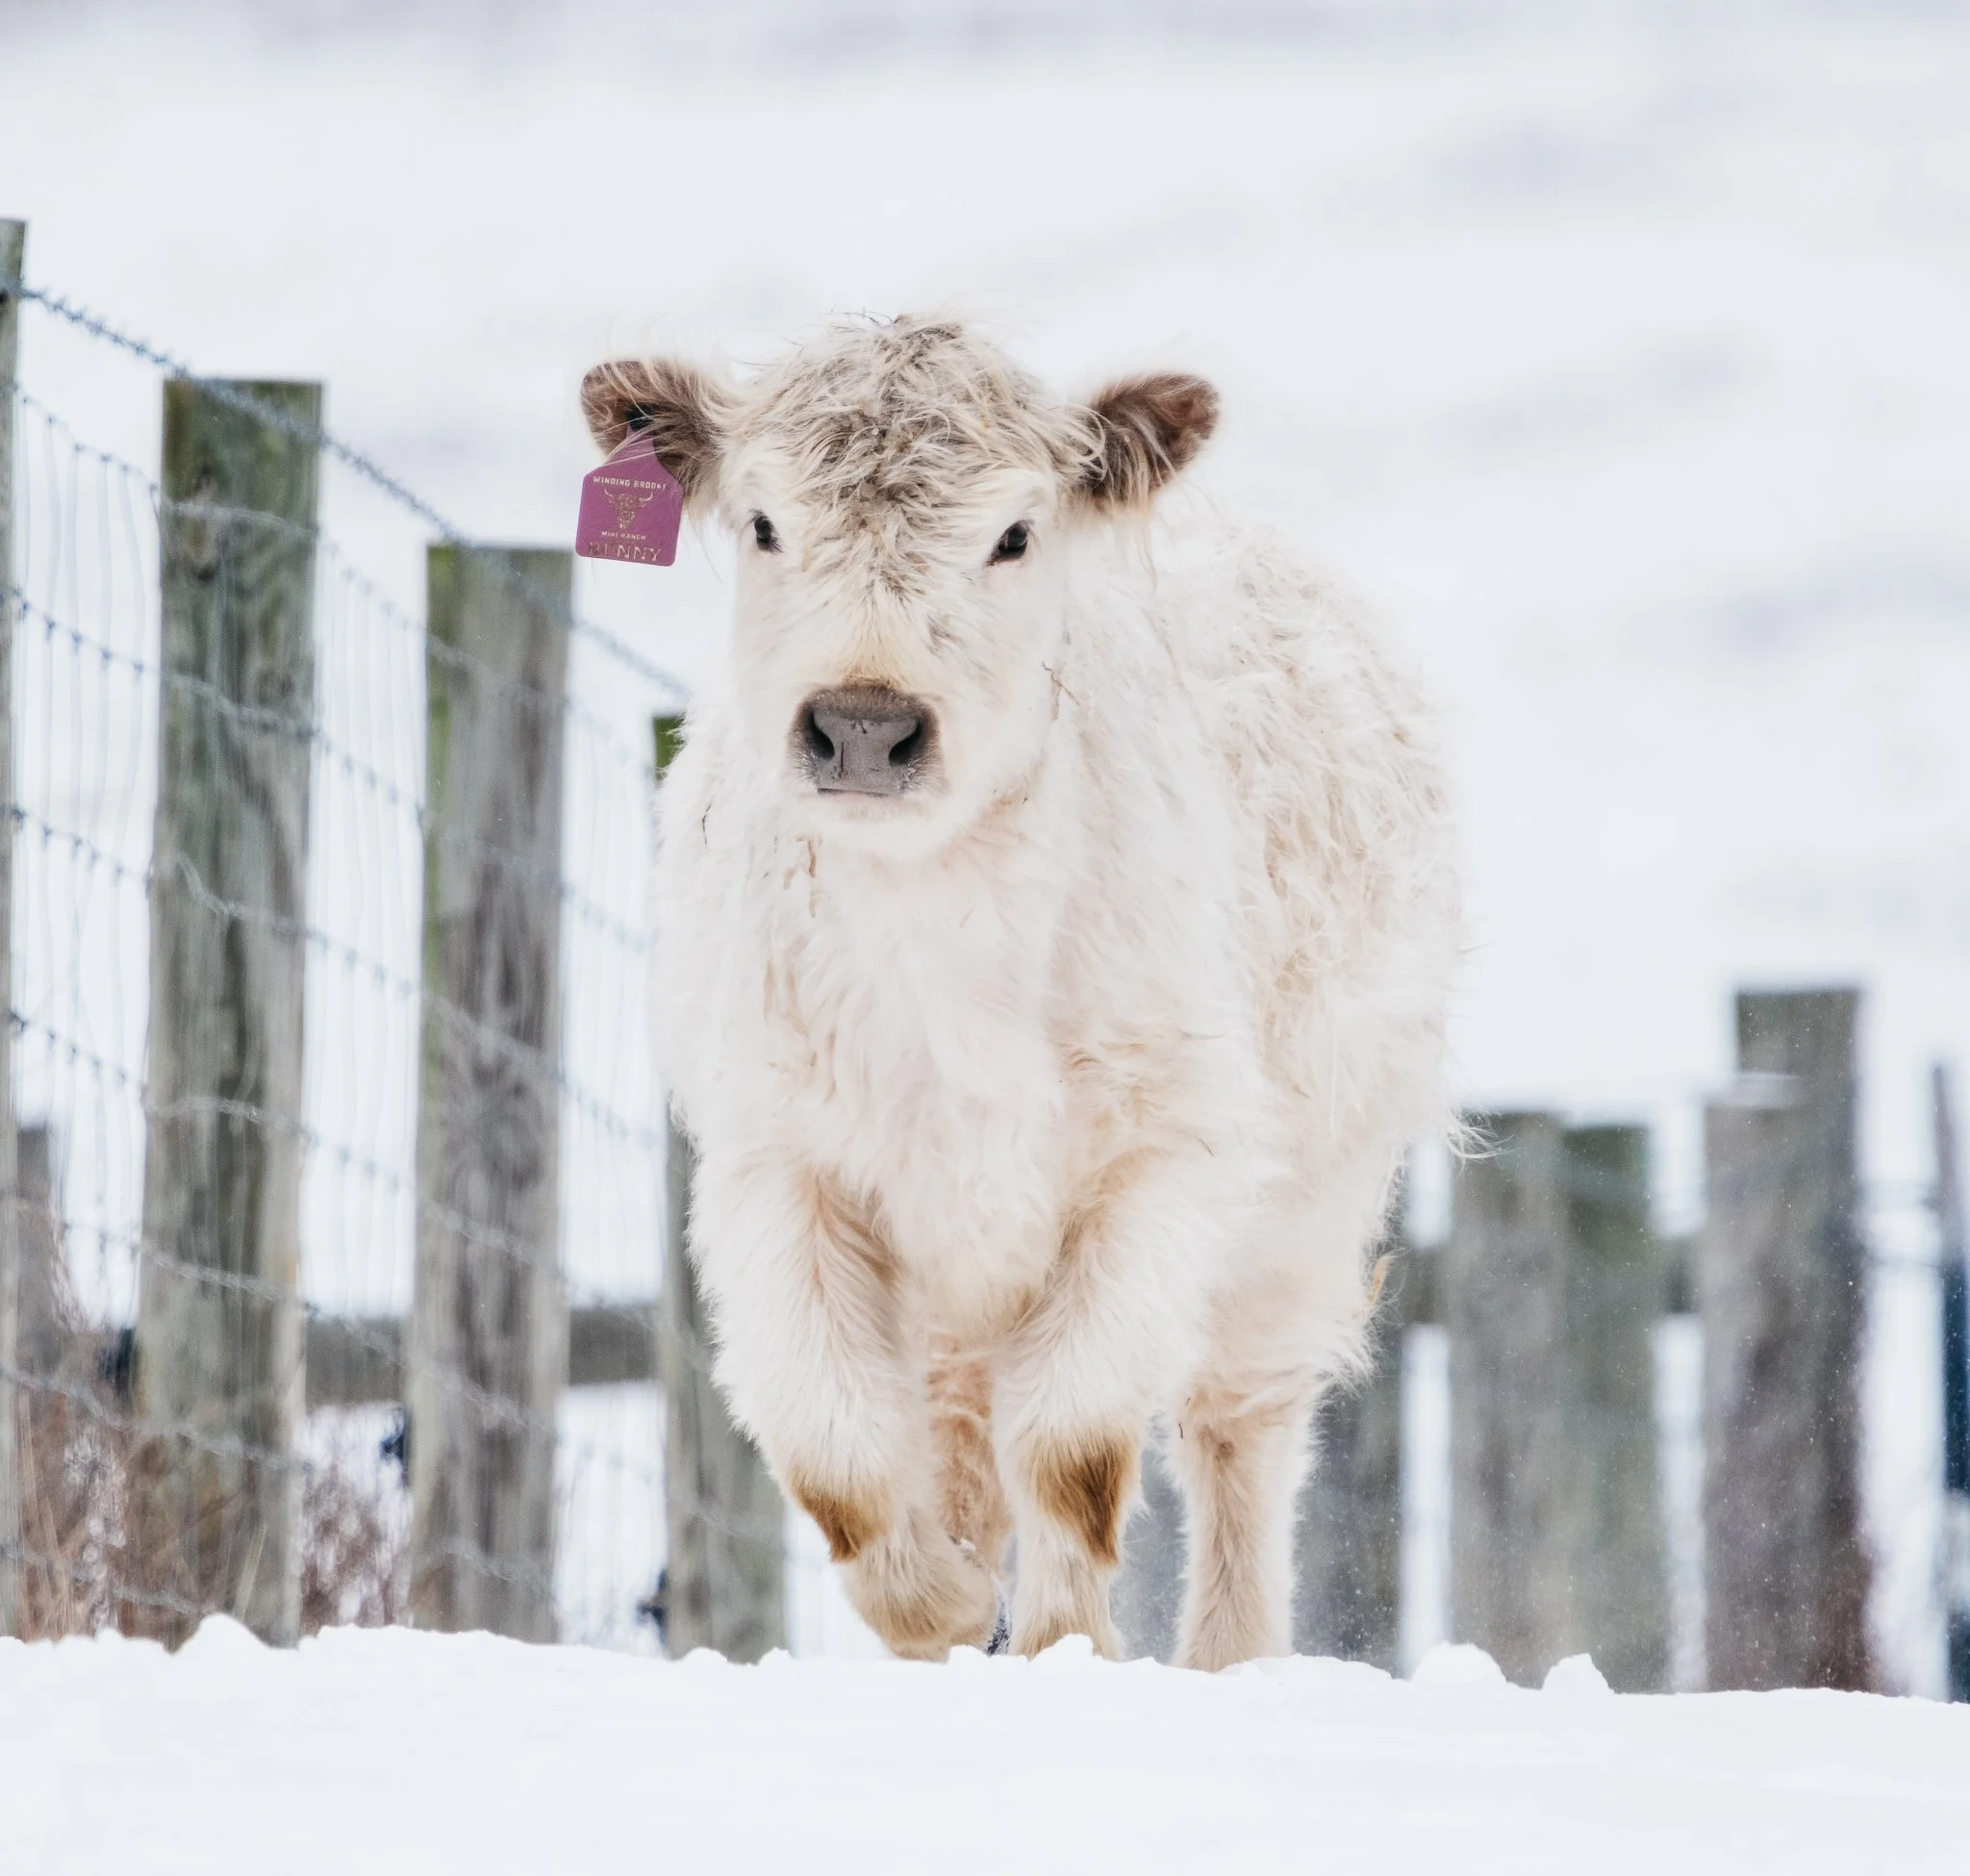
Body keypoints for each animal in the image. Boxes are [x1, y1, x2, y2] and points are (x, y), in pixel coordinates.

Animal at [582, 315, 1459, 1670]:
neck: (937, 947)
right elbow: (841, 1455)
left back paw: (1227, 1654)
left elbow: (1071, 1447)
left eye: (1011, 533)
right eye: (766, 522)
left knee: (1235, 1434)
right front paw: (938, 1615)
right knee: (955, 1440)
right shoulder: (776, 1166)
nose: (864, 725)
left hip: (1302, 1211)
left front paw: (1064, 1648)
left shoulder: (1160, 1164)